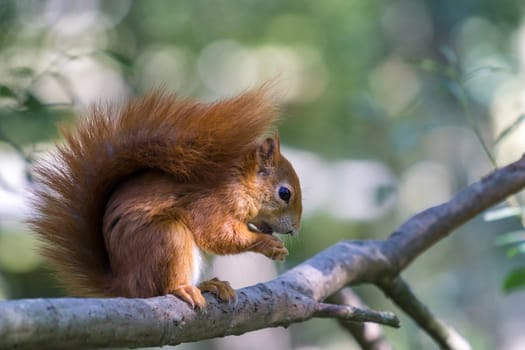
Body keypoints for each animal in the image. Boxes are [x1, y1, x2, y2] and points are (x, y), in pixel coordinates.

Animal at [31, 87, 302, 306]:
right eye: (284, 193)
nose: (294, 231)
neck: (237, 182)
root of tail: (125, 286)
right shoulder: (209, 202)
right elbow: (218, 234)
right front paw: (269, 245)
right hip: (167, 237)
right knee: (162, 287)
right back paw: (185, 289)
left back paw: (210, 285)